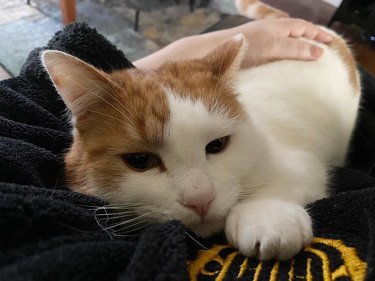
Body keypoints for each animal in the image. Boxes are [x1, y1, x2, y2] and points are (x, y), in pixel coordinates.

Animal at [41, 29, 362, 260]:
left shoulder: (301, 162)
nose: (201, 200)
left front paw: (267, 216)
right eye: (140, 160)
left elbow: (285, 181)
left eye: (217, 145)